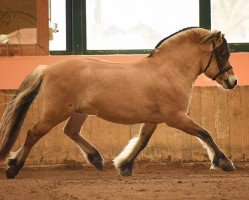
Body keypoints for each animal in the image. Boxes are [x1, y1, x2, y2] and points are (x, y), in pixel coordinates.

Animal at [0, 27, 237, 178]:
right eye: (222, 53)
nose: (232, 81)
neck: (170, 71)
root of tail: (47, 68)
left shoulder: (153, 119)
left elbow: (141, 142)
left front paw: (124, 166)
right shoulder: (176, 117)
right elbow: (205, 133)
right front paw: (224, 162)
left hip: (79, 112)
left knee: (71, 131)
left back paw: (96, 159)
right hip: (55, 112)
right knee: (33, 133)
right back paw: (13, 168)